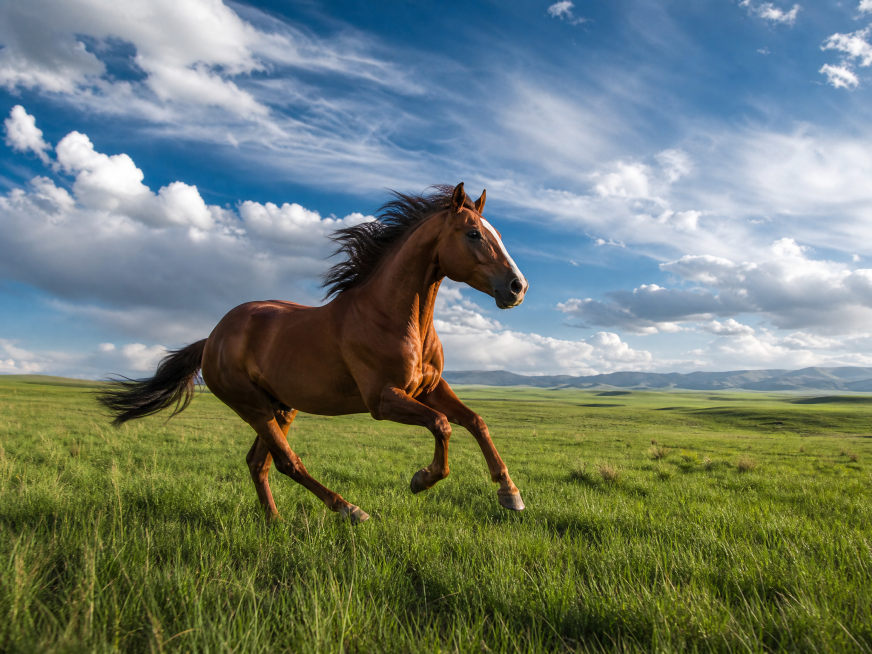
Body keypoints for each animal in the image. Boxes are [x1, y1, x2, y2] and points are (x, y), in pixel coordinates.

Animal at [98, 183, 528, 523]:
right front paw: (421, 480)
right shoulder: (383, 399)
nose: (517, 287)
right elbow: (442, 425)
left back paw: (274, 520)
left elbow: (475, 421)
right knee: (288, 462)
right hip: (252, 406)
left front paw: (510, 493)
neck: (392, 316)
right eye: (473, 234)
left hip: (280, 406)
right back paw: (349, 509)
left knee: (259, 463)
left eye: (497, 233)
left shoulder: (429, 388)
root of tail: (212, 338)